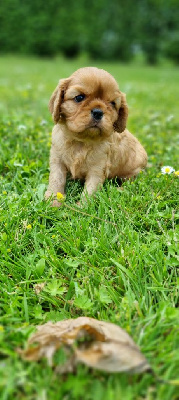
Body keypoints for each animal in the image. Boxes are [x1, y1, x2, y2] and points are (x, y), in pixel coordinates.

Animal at [44, 66, 147, 206]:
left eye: (112, 103)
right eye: (79, 97)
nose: (98, 112)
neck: (81, 140)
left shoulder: (97, 169)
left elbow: (90, 191)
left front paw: (81, 208)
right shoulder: (57, 160)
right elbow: (56, 179)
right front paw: (53, 200)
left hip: (135, 171)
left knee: (130, 183)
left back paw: (118, 190)